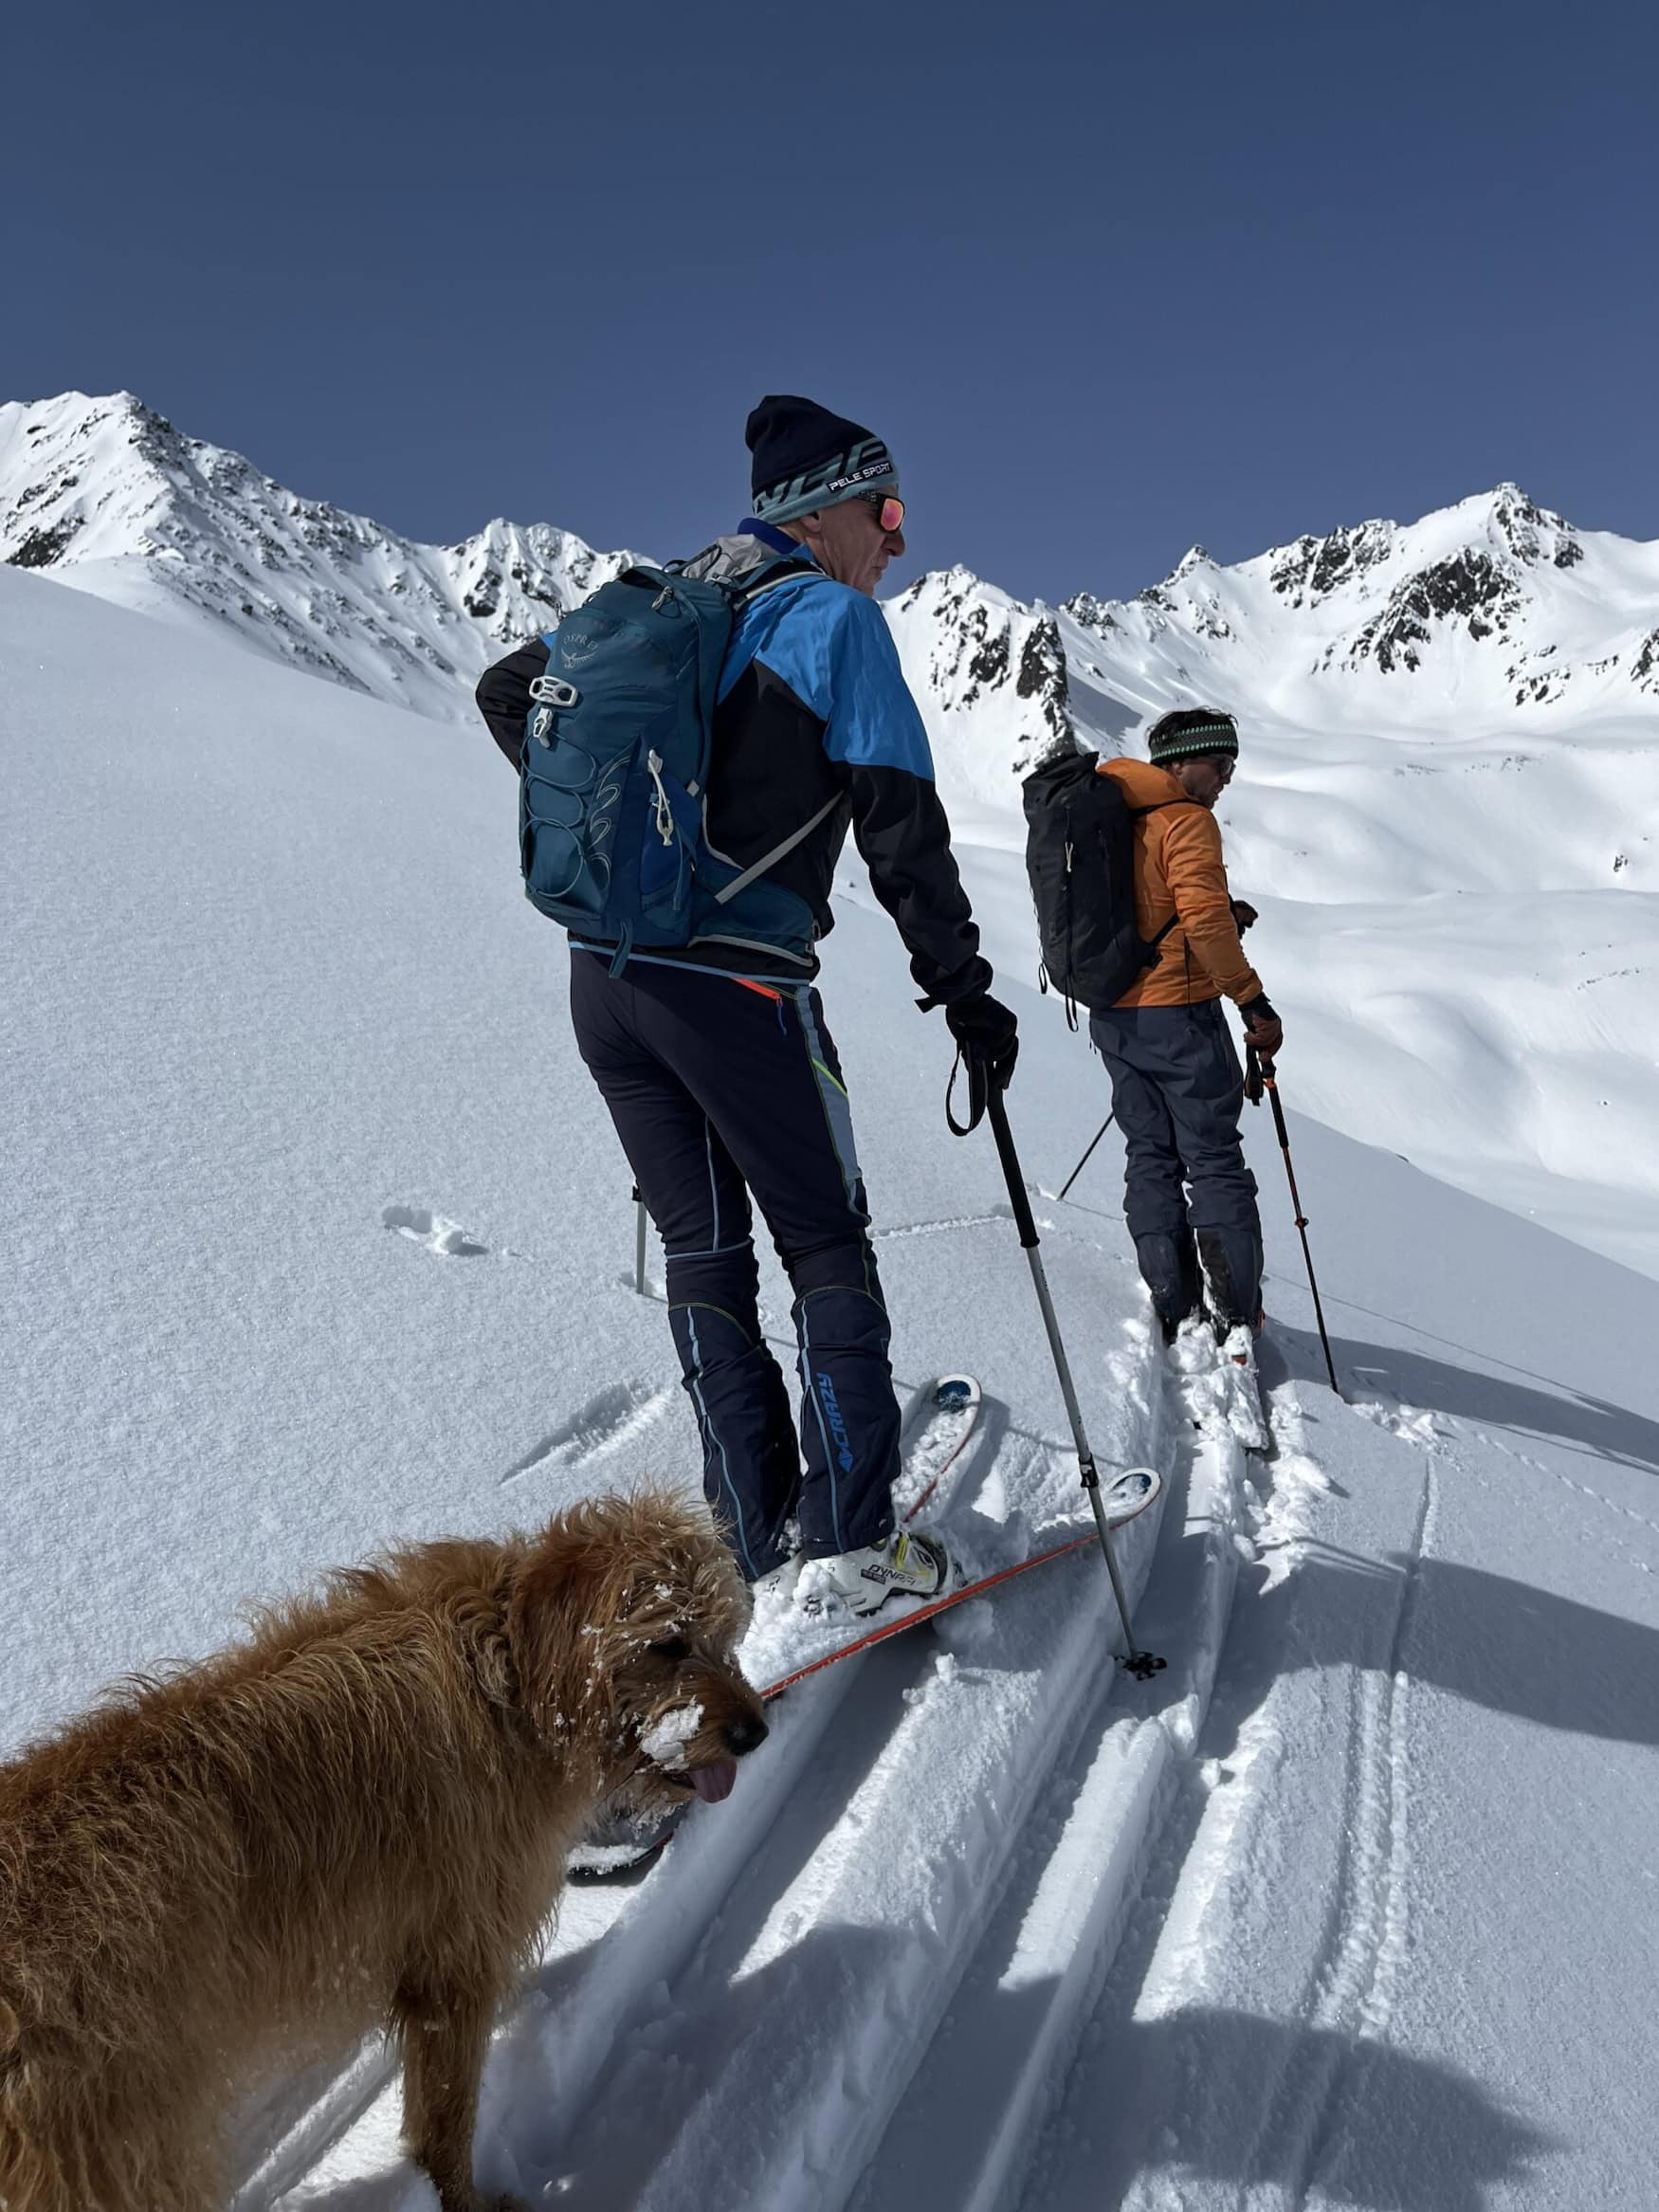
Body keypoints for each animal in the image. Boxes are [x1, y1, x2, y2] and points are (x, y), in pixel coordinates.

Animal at [0, 1486, 765, 2212]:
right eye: (668, 1642)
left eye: (723, 1631)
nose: (756, 1732)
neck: (511, 1670)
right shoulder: (451, 1966)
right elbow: (446, 2117)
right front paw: (463, 2201)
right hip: (118, 2154)